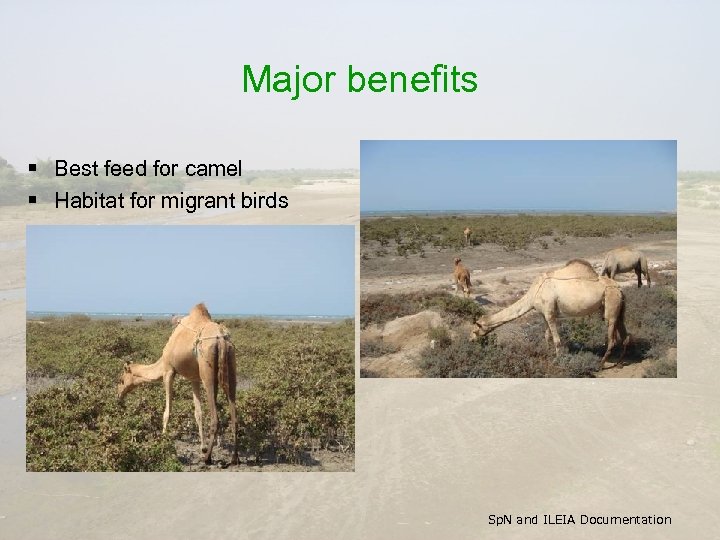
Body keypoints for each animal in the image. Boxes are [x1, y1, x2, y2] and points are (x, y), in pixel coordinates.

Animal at [117, 303, 238, 465]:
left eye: (121, 380)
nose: (118, 395)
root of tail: (221, 339)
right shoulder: (194, 378)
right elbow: (198, 413)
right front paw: (202, 447)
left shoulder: (169, 371)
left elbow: (167, 411)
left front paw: (163, 441)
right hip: (230, 365)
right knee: (234, 413)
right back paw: (234, 458)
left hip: (207, 373)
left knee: (215, 418)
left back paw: (207, 459)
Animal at [471, 259, 629, 370]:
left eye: (475, 329)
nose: (470, 339)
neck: (534, 293)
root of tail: (619, 288)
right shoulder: (544, 314)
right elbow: (546, 336)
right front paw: (546, 355)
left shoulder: (550, 313)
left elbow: (557, 340)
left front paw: (558, 361)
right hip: (617, 308)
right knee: (625, 335)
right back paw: (620, 363)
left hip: (611, 304)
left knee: (612, 338)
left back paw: (600, 365)